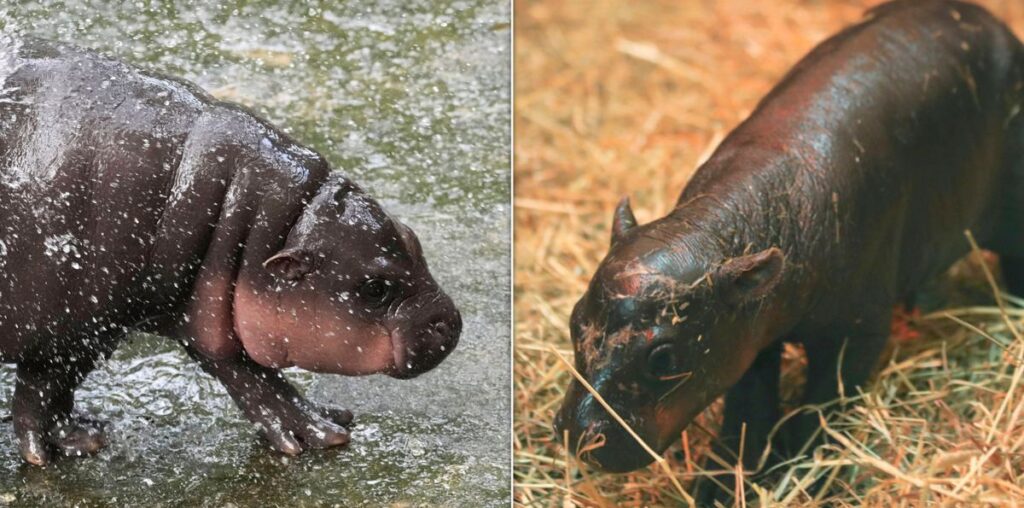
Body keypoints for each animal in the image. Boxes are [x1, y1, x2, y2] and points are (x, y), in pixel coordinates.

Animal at [0, 35, 460, 464]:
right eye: (375, 288)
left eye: (412, 237)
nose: (450, 322)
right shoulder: (70, 327)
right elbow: (44, 391)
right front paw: (66, 445)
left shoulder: (188, 309)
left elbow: (248, 374)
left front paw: (323, 423)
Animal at [557, 0, 1024, 501]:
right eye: (574, 320)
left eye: (663, 358)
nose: (578, 434)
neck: (716, 230)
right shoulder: (749, 334)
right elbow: (748, 411)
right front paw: (721, 488)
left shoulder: (857, 332)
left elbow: (822, 404)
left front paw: (801, 477)